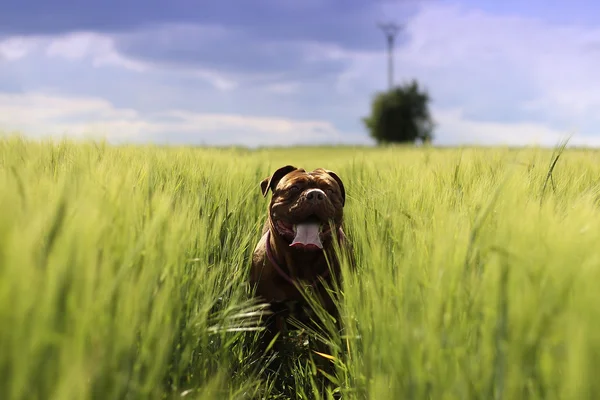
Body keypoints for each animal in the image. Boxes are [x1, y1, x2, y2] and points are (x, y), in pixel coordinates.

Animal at [250, 164, 352, 358]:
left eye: (330, 190)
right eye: (294, 188)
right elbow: (270, 352)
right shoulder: (269, 316)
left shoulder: (327, 318)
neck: (301, 261)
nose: (316, 195)